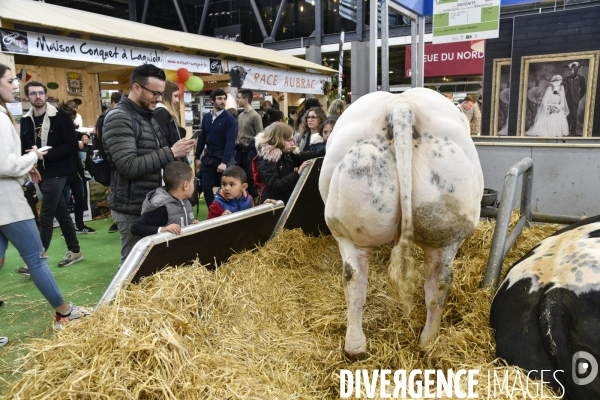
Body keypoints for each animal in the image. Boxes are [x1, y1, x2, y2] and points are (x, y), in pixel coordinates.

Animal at [318, 89, 482, 358]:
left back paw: (359, 347)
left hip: (351, 227)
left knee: (355, 277)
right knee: (440, 279)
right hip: (445, 226)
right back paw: (426, 341)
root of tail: (401, 105)